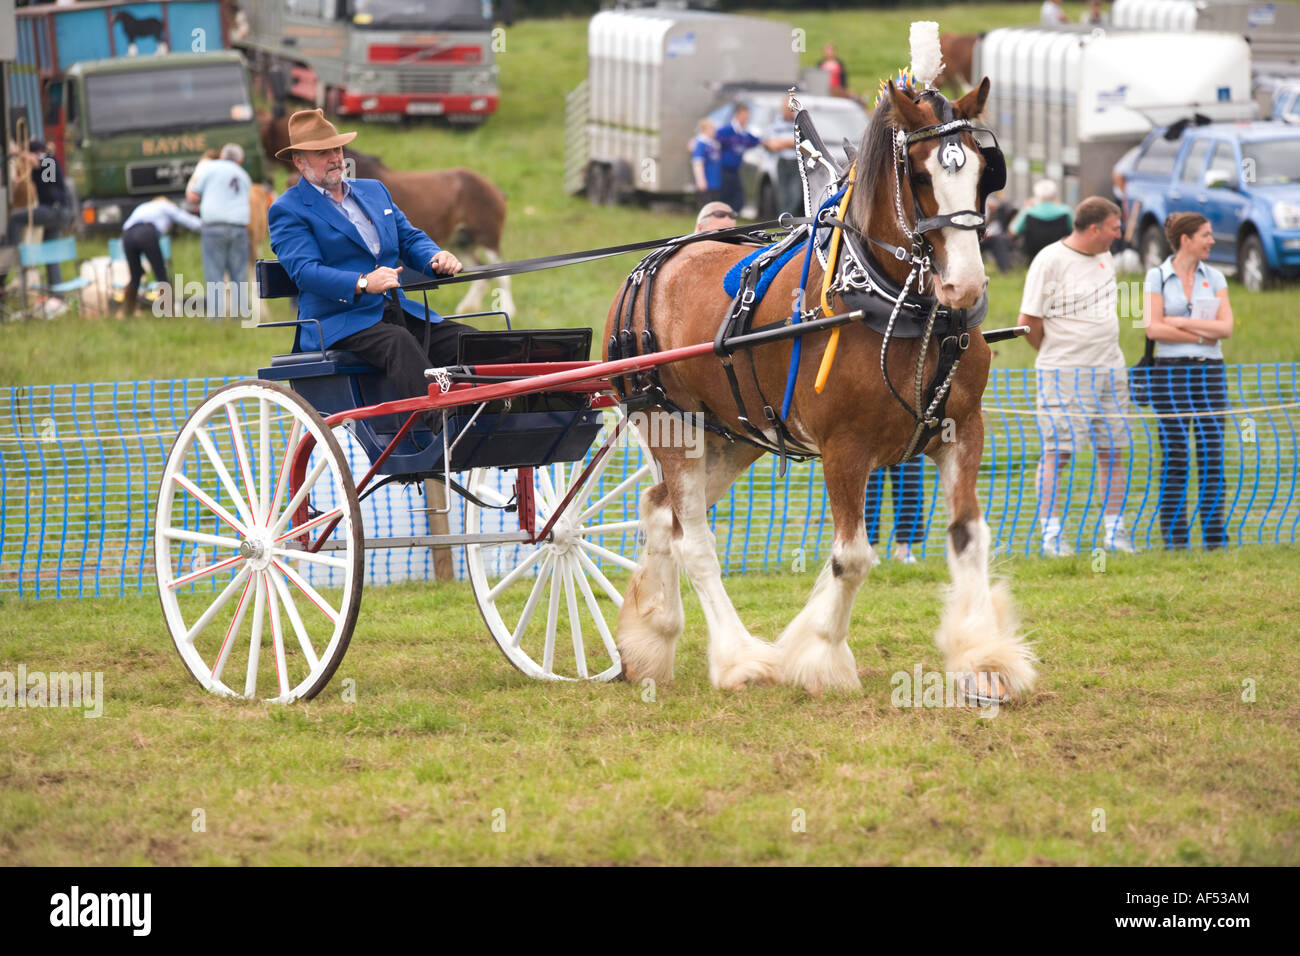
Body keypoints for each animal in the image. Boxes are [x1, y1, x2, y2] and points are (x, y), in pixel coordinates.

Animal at [343, 147, 515, 317]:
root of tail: (495, 189)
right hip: (461, 243)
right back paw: (466, 309)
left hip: (488, 239)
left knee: (501, 275)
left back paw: (507, 311)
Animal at [603, 73, 1037, 701]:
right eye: (921, 175)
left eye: (985, 170)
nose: (966, 284)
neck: (893, 302)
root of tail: (647, 269)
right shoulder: (844, 448)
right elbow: (851, 559)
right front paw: (820, 656)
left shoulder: (962, 430)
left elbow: (967, 536)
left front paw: (983, 657)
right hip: (670, 425)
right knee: (693, 540)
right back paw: (738, 659)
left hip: (734, 437)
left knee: (660, 509)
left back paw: (651, 637)